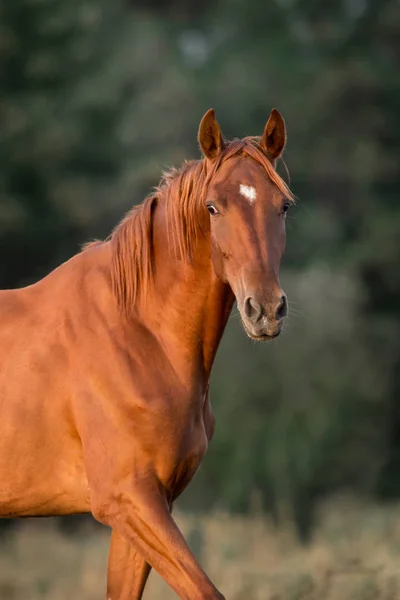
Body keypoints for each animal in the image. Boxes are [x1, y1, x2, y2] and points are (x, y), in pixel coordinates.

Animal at [0, 109, 294, 600]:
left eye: (283, 205)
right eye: (213, 207)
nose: (266, 310)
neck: (140, 336)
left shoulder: (148, 506)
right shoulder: (127, 501)